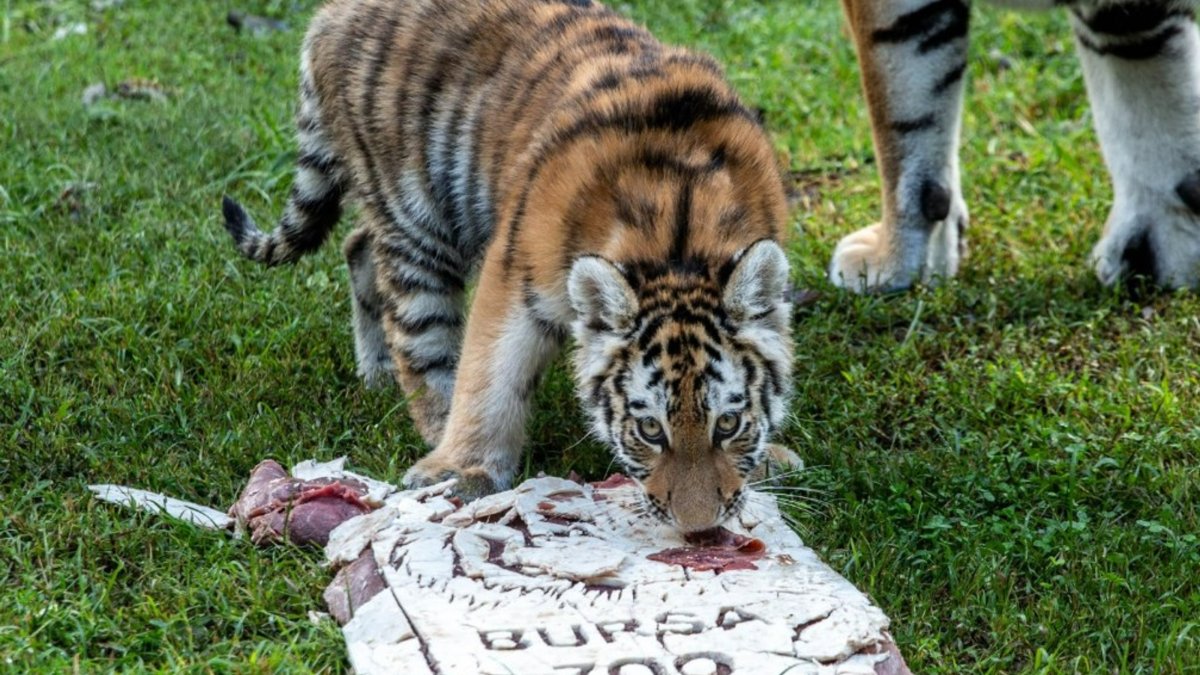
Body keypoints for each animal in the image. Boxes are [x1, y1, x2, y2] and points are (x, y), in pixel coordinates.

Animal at [220, 0, 800, 533]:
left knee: (358, 243)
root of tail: (331, 13)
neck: (680, 240)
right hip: (415, 217)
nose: (698, 528)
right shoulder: (516, 273)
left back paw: (377, 374)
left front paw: (767, 458)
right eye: (650, 430)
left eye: (728, 423)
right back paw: (433, 421)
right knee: (420, 337)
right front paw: (465, 468)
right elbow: (490, 376)